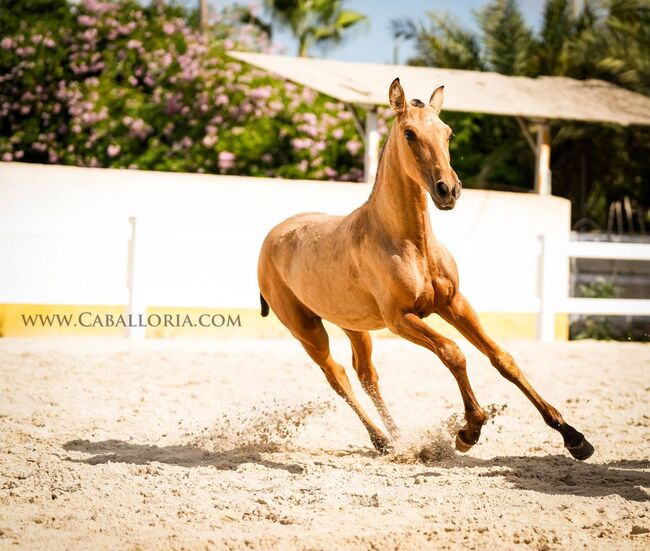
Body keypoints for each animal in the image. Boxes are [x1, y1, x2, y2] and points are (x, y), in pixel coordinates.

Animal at [256, 77, 588, 462]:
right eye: (410, 133)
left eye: (448, 132)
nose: (449, 190)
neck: (410, 244)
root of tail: (272, 236)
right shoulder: (401, 319)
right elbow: (453, 352)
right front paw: (469, 430)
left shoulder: (454, 304)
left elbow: (501, 358)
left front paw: (573, 436)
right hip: (307, 329)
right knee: (337, 375)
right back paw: (382, 440)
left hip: (354, 325)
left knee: (366, 374)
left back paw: (397, 440)